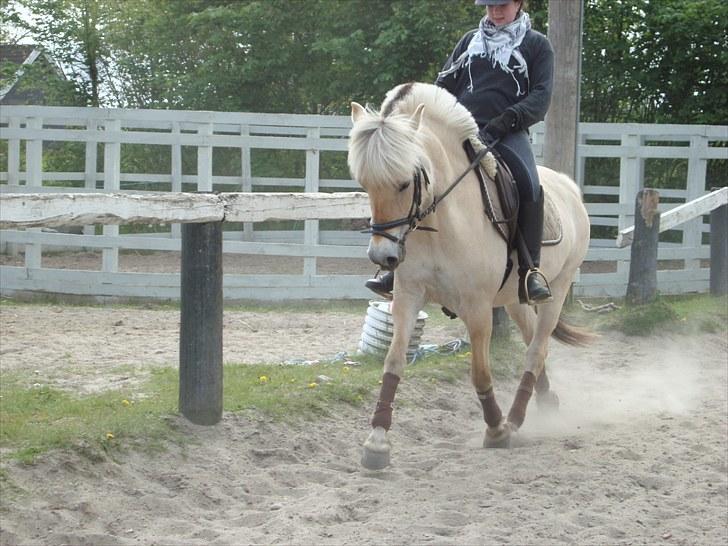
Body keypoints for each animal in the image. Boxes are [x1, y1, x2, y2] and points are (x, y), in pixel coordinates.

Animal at [346, 82, 592, 468]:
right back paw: (543, 402)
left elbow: (479, 372)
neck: (442, 220)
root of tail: (569, 187)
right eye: (366, 184)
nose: (382, 256)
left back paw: (515, 420)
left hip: (559, 287)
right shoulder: (408, 296)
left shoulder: (477, 307)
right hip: (514, 299)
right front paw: (377, 442)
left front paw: (496, 430)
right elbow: (394, 361)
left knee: (536, 350)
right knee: (533, 344)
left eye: (404, 183)